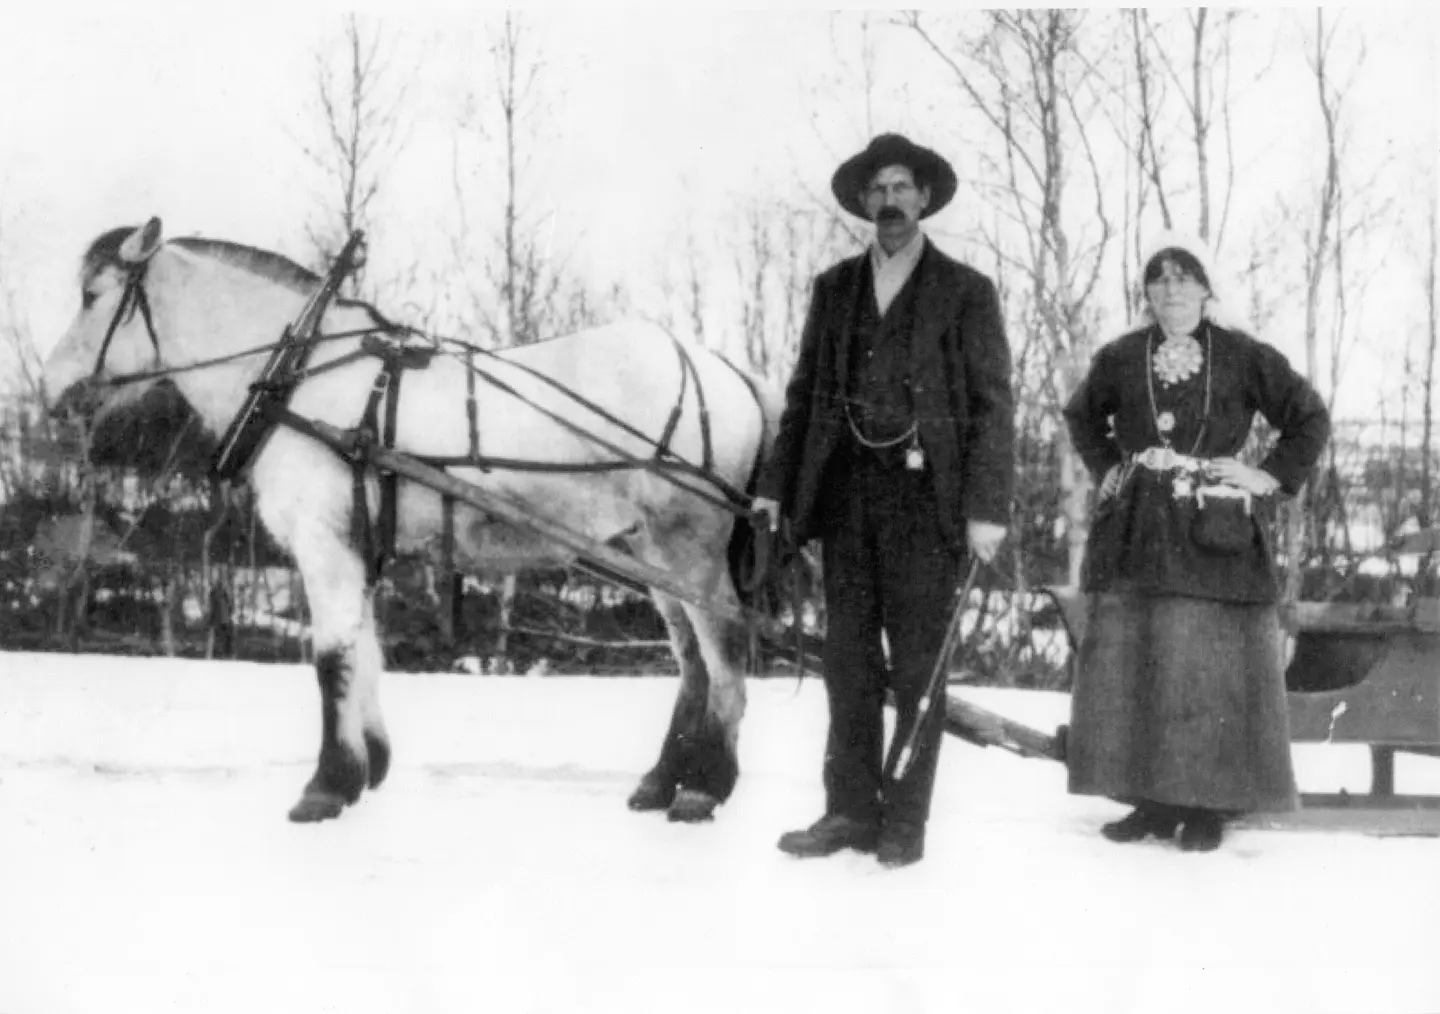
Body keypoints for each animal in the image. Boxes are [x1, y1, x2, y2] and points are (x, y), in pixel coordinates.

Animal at [42, 220, 789, 823]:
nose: (51, 392)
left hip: (689, 546)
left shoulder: (324, 543)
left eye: (91, 296)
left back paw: (706, 787)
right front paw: (368, 767)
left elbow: (331, 657)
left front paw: (327, 786)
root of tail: (723, 367)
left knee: (725, 649)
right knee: (692, 660)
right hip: (648, 552)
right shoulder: (355, 543)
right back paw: (663, 780)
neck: (302, 379)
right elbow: (365, 650)